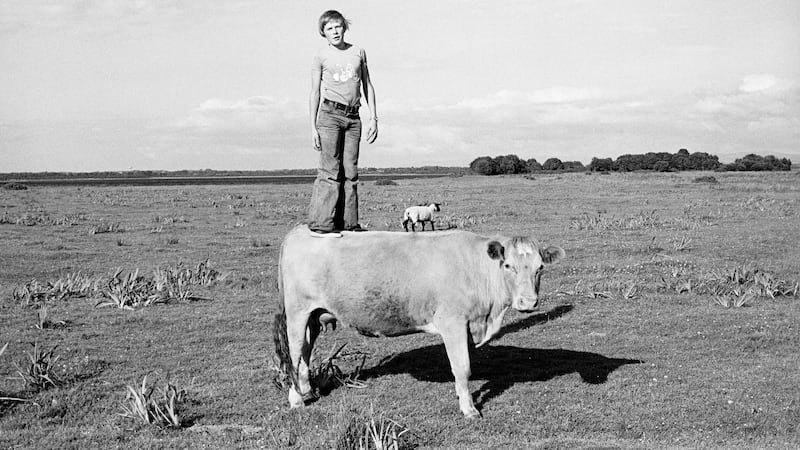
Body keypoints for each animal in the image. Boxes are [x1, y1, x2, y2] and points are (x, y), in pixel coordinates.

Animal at [273, 224, 565, 418]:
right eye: (508, 266)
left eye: (540, 267)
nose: (528, 302)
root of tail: (299, 231)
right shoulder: (452, 323)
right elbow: (463, 367)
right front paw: (469, 409)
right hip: (298, 313)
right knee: (295, 355)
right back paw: (297, 400)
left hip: (313, 316)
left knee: (304, 353)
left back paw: (307, 390)